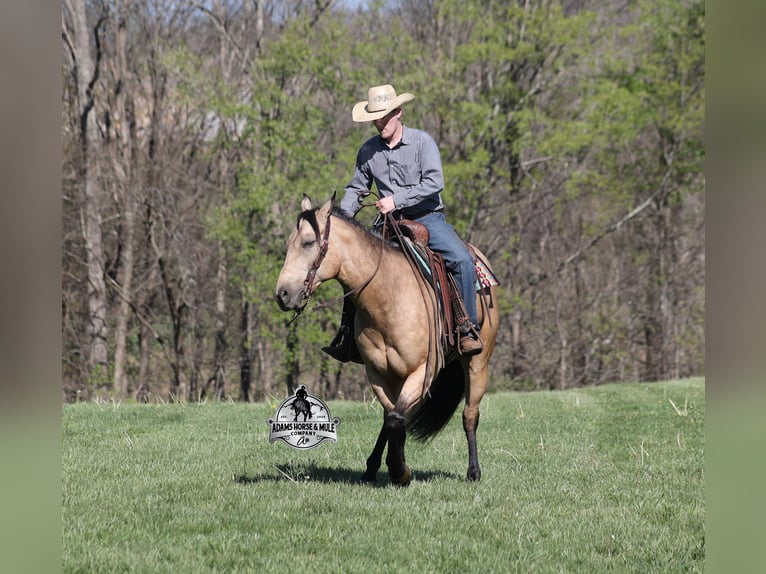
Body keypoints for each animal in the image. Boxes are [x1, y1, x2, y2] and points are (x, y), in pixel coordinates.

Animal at [275, 194, 499, 485]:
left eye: (308, 243)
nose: (282, 294)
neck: (389, 296)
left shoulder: (422, 371)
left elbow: (396, 419)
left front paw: (399, 470)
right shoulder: (379, 374)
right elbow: (392, 418)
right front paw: (391, 467)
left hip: (478, 363)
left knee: (470, 415)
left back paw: (473, 471)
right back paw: (371, 469)